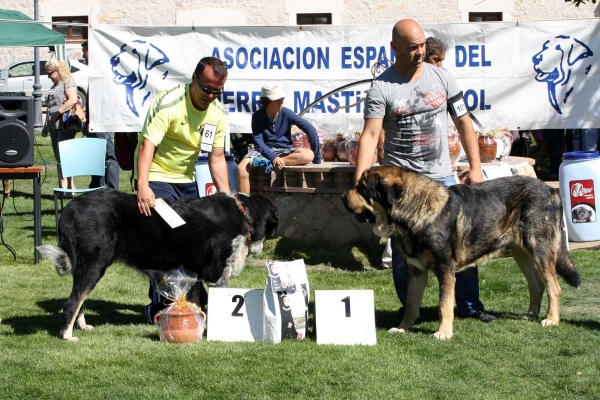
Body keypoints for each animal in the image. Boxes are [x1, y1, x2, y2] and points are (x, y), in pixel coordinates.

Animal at [38, 191, 278, 340]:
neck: (244, 215)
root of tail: (72, 206)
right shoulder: (217, 275)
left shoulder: (194, 277)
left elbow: (197, 306)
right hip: (94, 265)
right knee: (72, 302)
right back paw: (67, 336)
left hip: (86, 267)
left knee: (80, 299)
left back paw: (81, 326)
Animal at [342, 164, 580, 340]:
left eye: (362, 188)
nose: (343, 197)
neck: (414, 211)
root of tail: (551, 190)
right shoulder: (416, 271)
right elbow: (411, 304)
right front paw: (403, 328)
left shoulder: (445, 269)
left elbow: (445, 304)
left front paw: (444, 332)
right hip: (521, 253)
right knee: (537, 284)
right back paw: (530, 314)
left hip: (540, 250)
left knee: (554, 287)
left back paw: (551, 319)